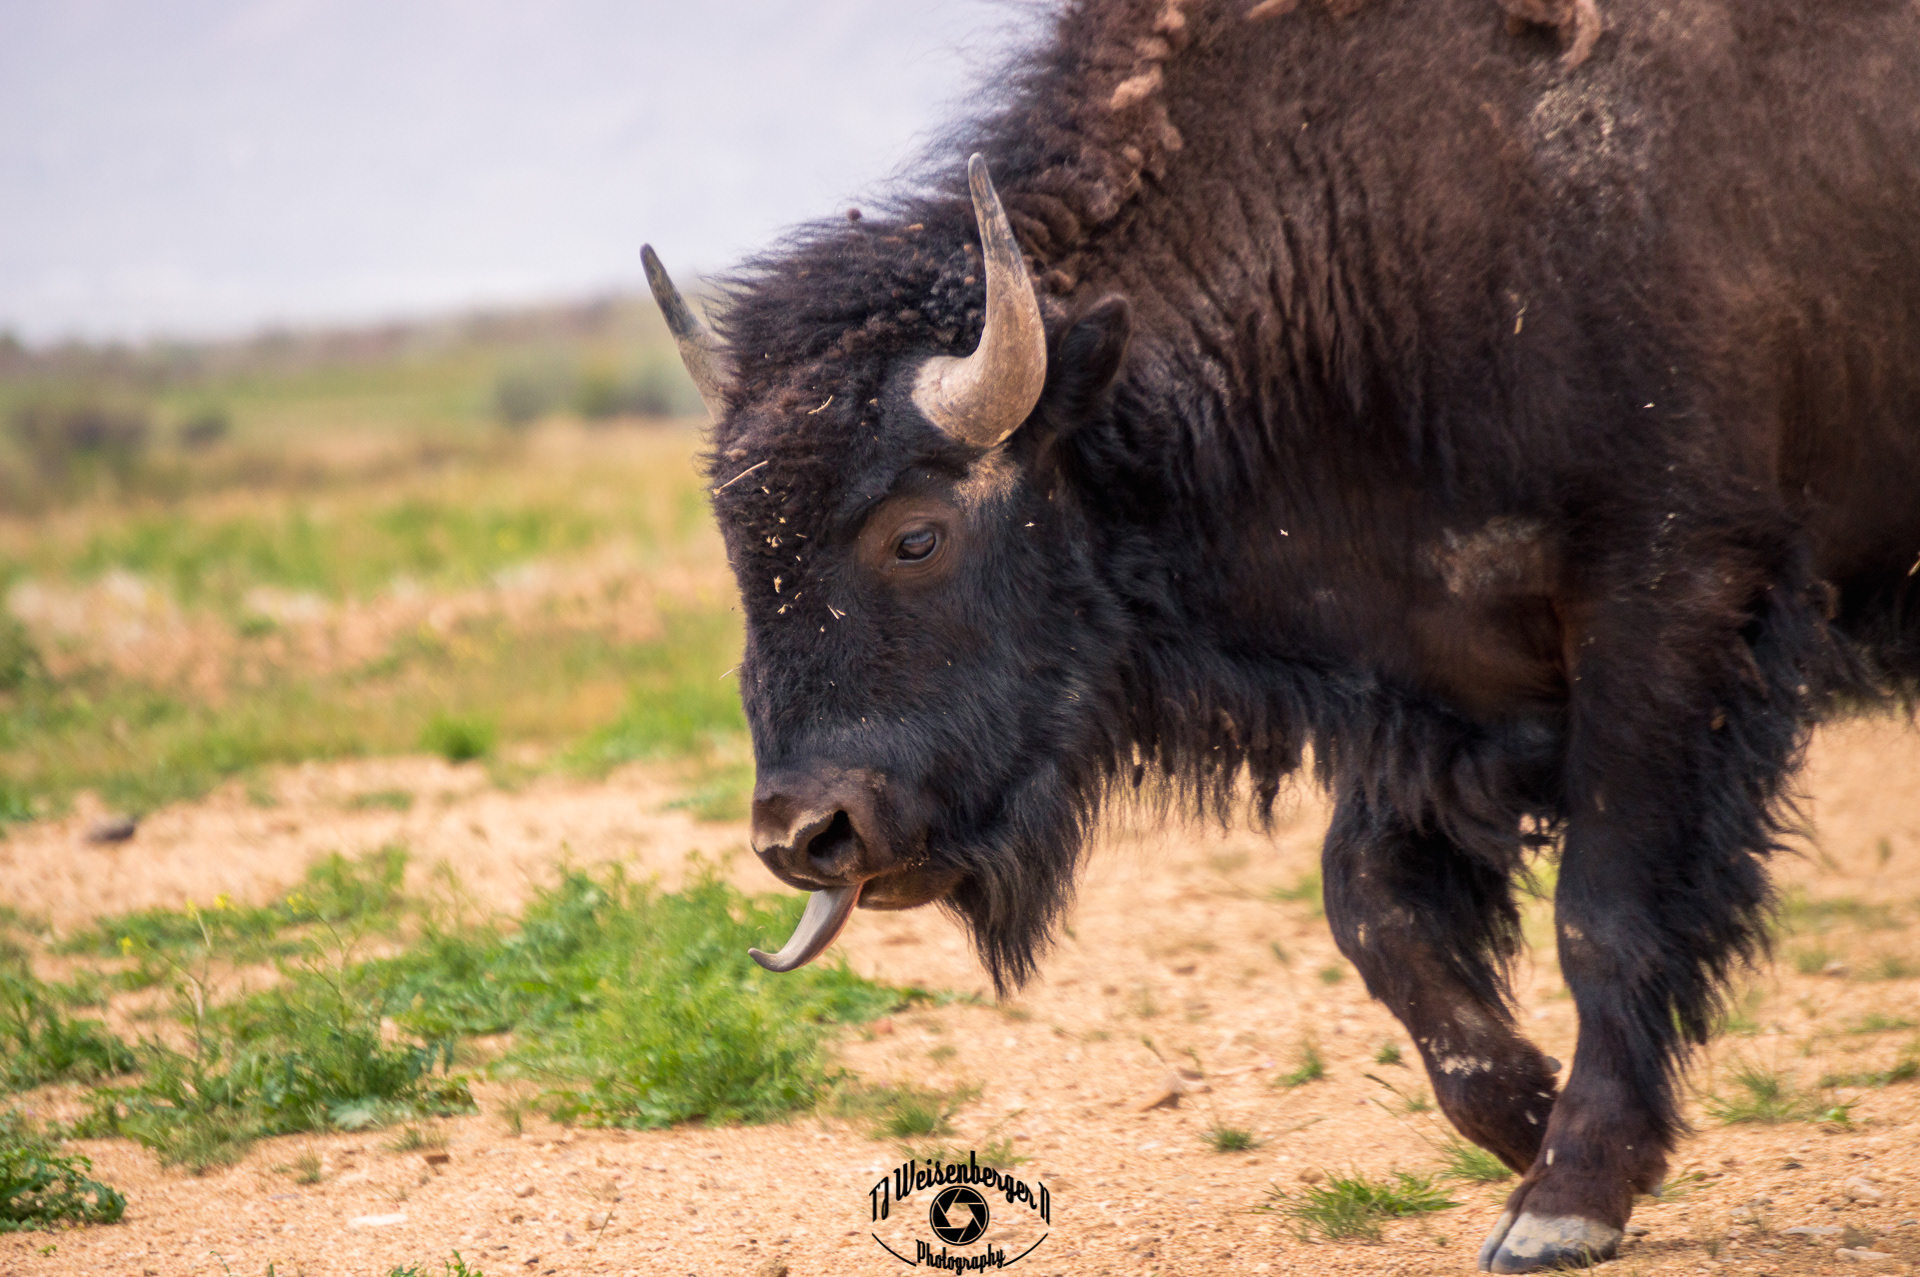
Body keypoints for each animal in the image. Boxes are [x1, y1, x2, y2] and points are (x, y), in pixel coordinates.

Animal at [642, 0, 1920, 1269]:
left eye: (916, 533)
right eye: (737, 539)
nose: (803, 834)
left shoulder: (1670, 605)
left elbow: (1603, 912)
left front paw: (1563, 1197)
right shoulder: (1436, 692)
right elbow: (1371, 908)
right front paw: (1523, 1110)